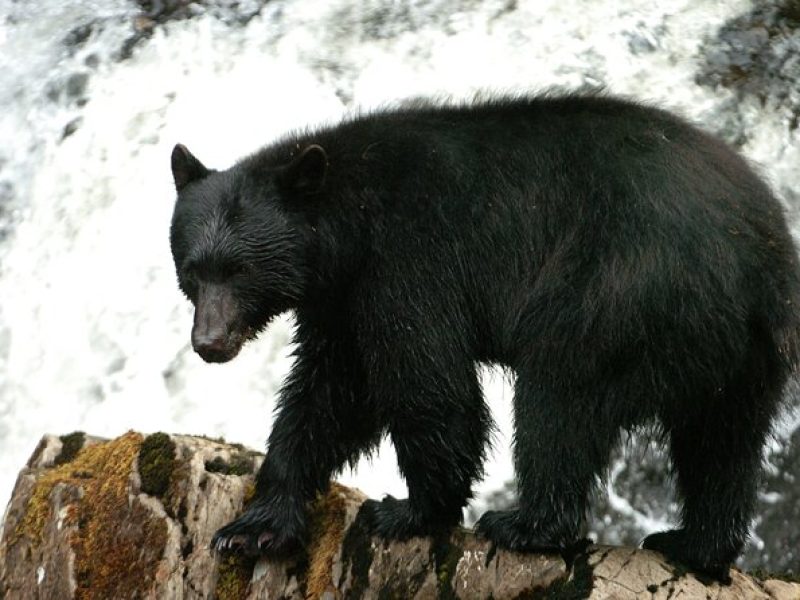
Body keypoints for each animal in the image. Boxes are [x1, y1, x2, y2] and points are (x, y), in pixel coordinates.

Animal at [169, 95, 800, 580]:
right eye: (193, 269)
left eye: (241, 269)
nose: (209, 342)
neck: (348, 224)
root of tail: (758, 263)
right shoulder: (340, 302)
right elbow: (328, 395)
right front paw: (254, 527)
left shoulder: (408, 263)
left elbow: (428, 383)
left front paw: (411, 511)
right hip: (744, 356)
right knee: (723, 443)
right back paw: (695, 543)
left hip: (619, 290)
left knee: (559, 400)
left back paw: (526, 524)